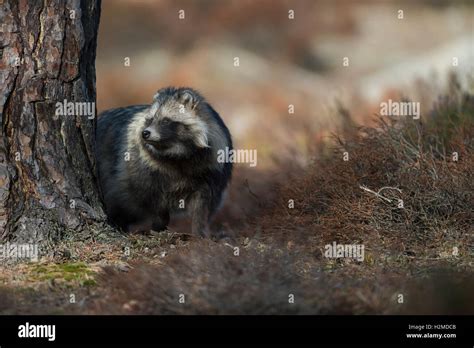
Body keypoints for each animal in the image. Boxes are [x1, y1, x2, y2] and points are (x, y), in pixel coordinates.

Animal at [95, 86, 232, 237]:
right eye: (149, 120)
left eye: (166, 121)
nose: (145, 133)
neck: (176, 153)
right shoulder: (142, 167)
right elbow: (152, 199)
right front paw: (159, 225)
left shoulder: (211, 169)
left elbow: (203, 205)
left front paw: (199, 232)